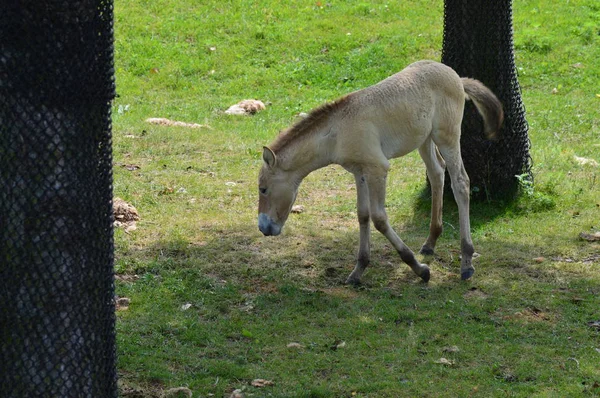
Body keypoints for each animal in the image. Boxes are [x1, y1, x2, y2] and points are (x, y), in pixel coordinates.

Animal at [256, 59, 502, 282]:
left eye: (263, 189)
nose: (263, 227)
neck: (337, 132)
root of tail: (456, 77)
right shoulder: (359, 172)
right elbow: (363, 215)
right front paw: (358, 270)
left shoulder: (377, 169)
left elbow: (379, 219)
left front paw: (419, 269)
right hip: (424, 141)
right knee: (437, 173)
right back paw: (430, 242)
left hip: (447, 138)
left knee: (460, 182)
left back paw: (466, 262)